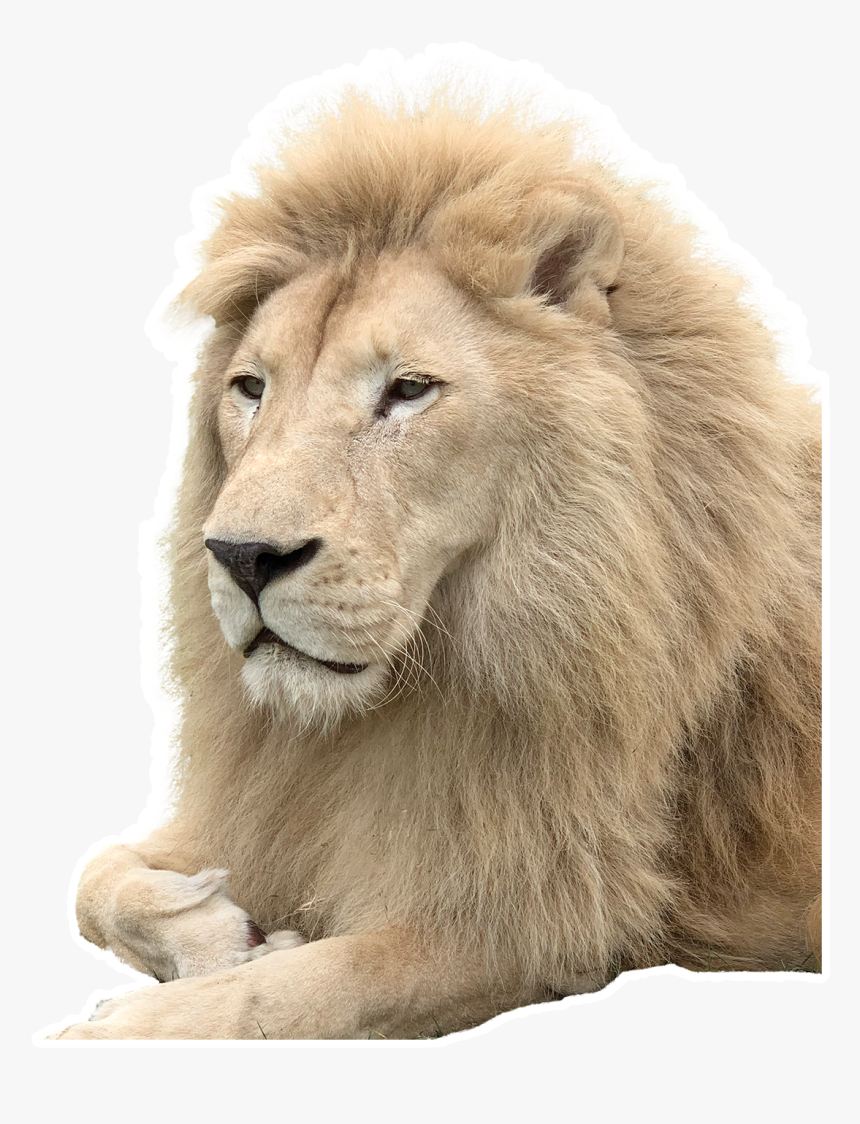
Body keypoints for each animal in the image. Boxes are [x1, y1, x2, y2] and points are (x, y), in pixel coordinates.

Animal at [50, 88, 822, 1040]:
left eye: (408, 390)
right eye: (250, 388)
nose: (243, 558)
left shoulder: (528, 916)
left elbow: (287, 996)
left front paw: (113, 1028)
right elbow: (95, 878)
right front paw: (217, 932)